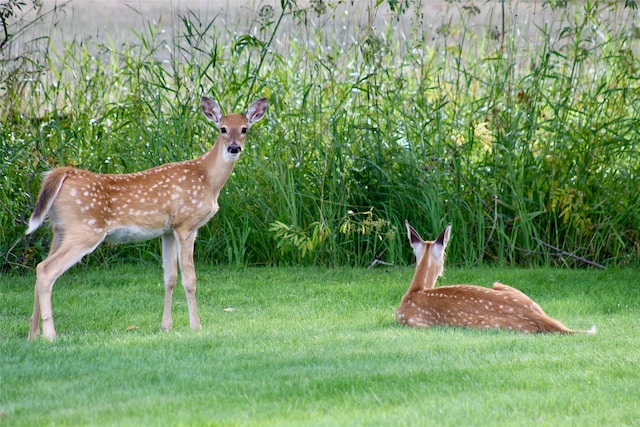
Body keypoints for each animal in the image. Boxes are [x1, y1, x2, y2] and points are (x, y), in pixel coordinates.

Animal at [25, 96, 268, 342]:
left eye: (245, 128)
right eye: (223, 129)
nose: (234, 147)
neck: (208, 179)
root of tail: (63, 174)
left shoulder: (168, 230)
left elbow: (169, 277)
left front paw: (166, 326)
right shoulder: (186, 224)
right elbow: (189, 279)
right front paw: (196, 326)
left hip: (60, 230)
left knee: (39, 268)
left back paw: (32, 334)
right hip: (85, 231)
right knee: (46, 270)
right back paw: (50, 335)